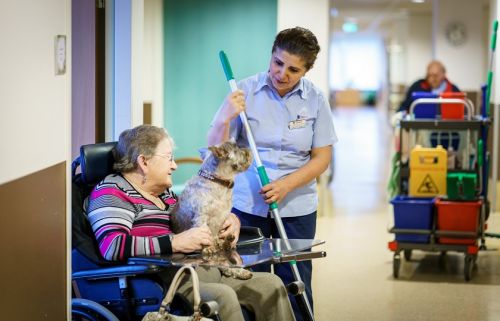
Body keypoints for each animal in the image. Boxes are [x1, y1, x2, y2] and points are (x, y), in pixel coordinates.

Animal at [174, 140, 254, 278]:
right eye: (236, 149)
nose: (249, 150)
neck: (218, 182)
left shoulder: (222, 218)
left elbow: (218, 234)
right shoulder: (201, 217)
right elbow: (205, 234)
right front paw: (208, 248)